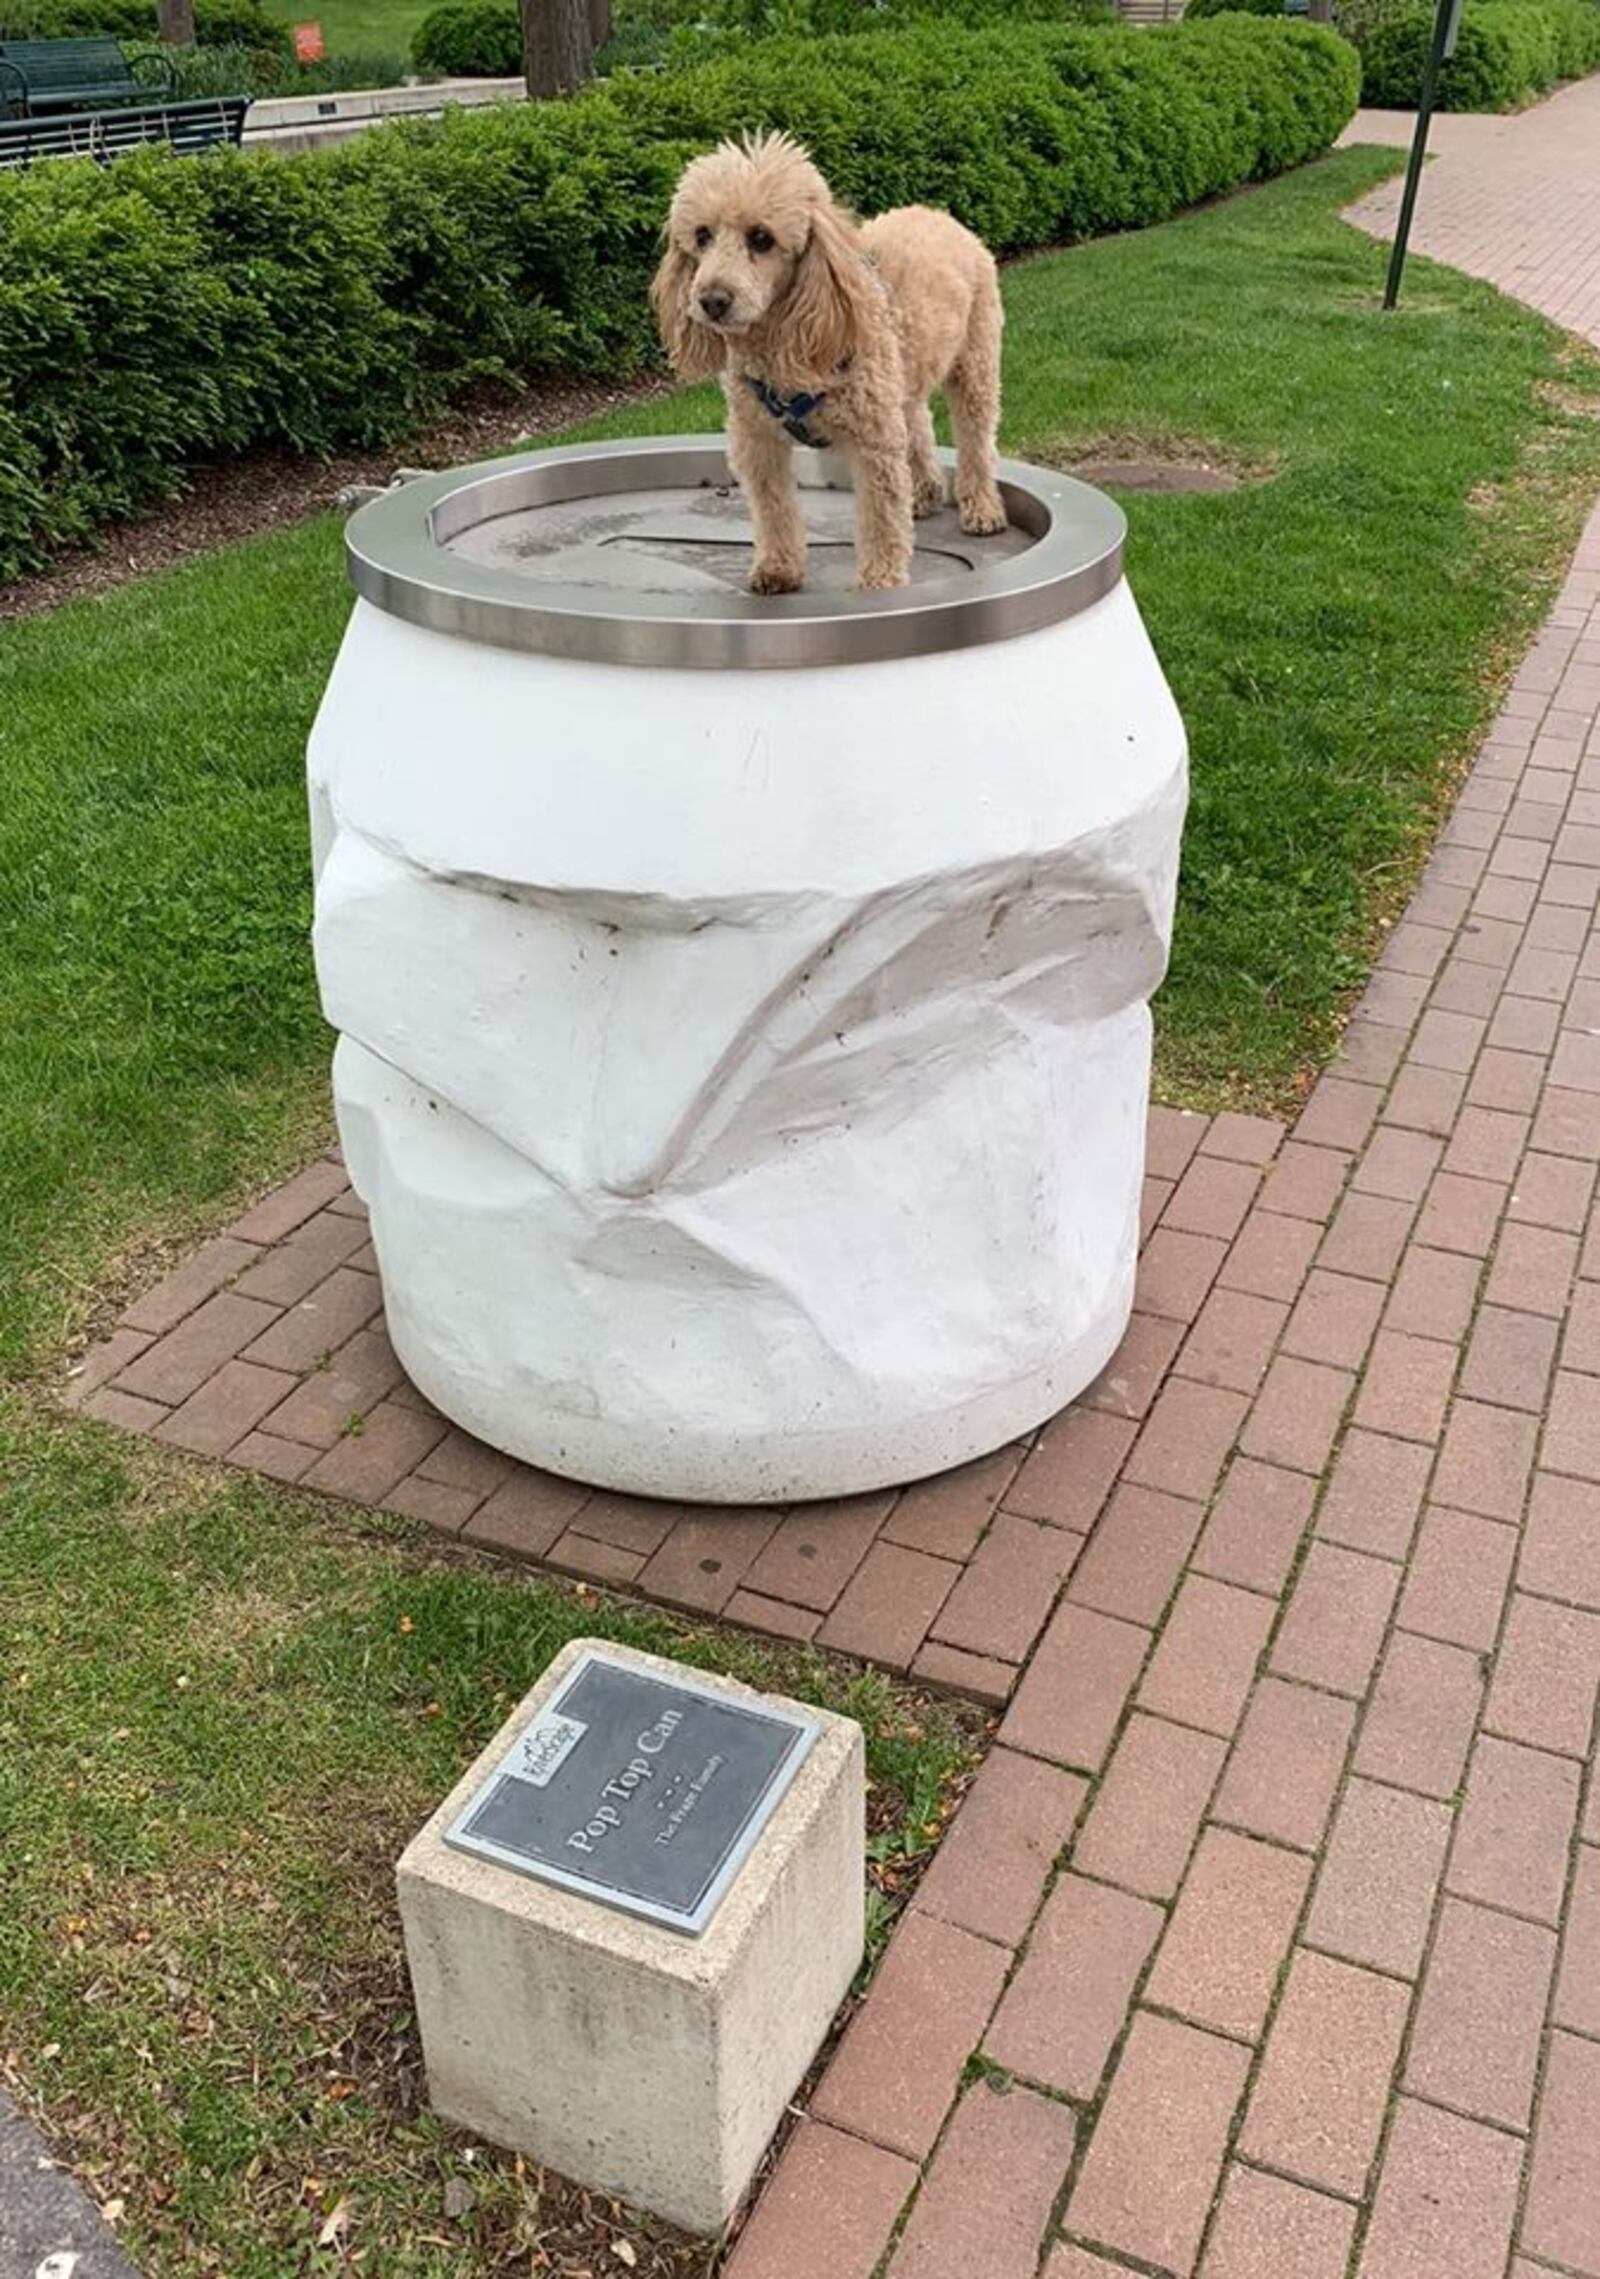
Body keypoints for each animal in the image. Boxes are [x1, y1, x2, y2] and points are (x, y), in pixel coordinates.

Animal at [647, 130, 1002, 597]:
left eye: (761, 238)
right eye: (702, 235)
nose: (712, 300)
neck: (779, 346)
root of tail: (937, 214)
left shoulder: (873, 443)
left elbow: (881, 520)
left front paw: (881, 582)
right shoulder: (757, 440)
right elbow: (774, 509)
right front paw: (778, 567)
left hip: (975, 363)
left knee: (976, 440)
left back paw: (982, 507)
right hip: (904, 377)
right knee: (918, 422)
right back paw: (924, 491)